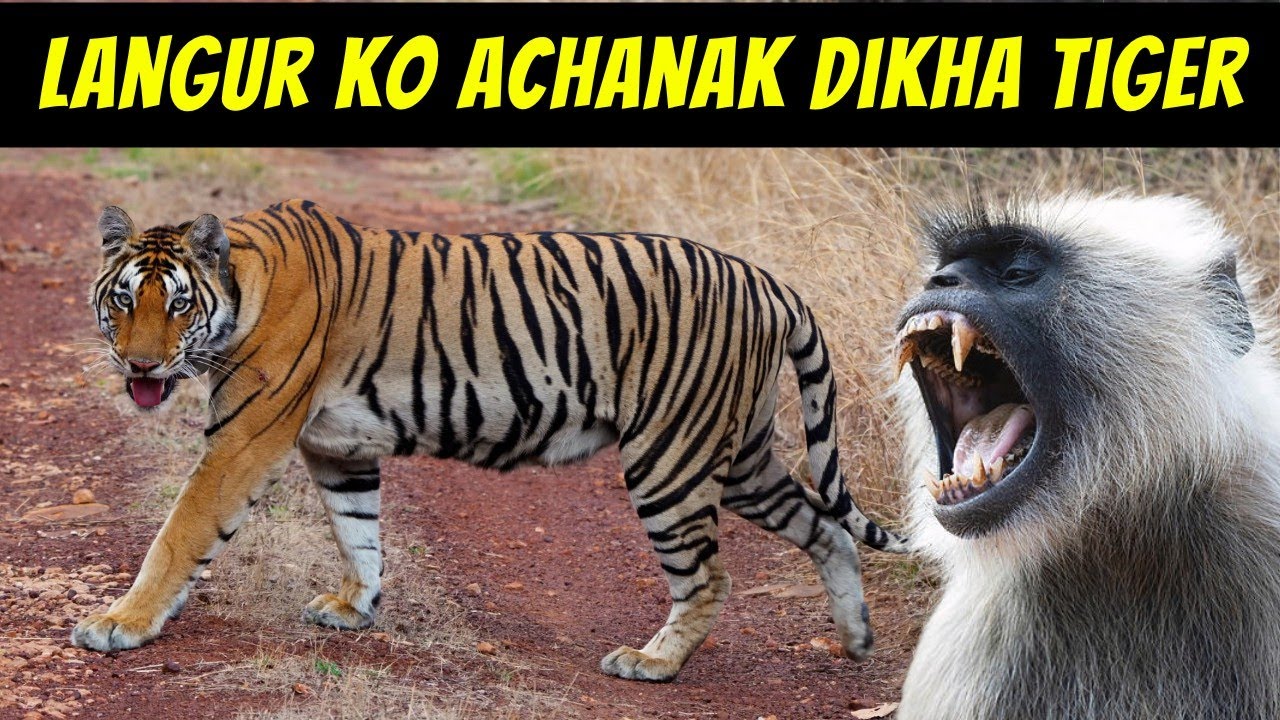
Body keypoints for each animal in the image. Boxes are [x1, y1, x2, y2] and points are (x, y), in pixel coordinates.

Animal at [71, 199, 907, 681]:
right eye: (124, 302)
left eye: (177, 305)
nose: (139, 365)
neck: (240, 284)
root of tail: (769, 281)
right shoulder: (337, 448)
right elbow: (358, 532)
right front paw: (356, 606)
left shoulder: (244, 438)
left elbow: (180, 534)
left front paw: (120, 624)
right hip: (738, 456)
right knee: (825, 526)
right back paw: (857, 639)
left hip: (671, 456)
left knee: (708, 575)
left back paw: (652, 661)